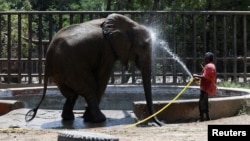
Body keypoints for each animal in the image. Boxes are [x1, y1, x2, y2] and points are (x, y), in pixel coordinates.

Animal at [25, 13, 162, 125]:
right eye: (143, 46)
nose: (159, 123)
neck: (131, 24)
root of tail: (49, 55)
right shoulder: (107, 50)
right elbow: (102, 76)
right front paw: (89, 116)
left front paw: (86, 115)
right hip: (72, 67)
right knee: (88, 86)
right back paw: (99, 119)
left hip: (60, 72)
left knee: (71, 94)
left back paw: (70, 118)